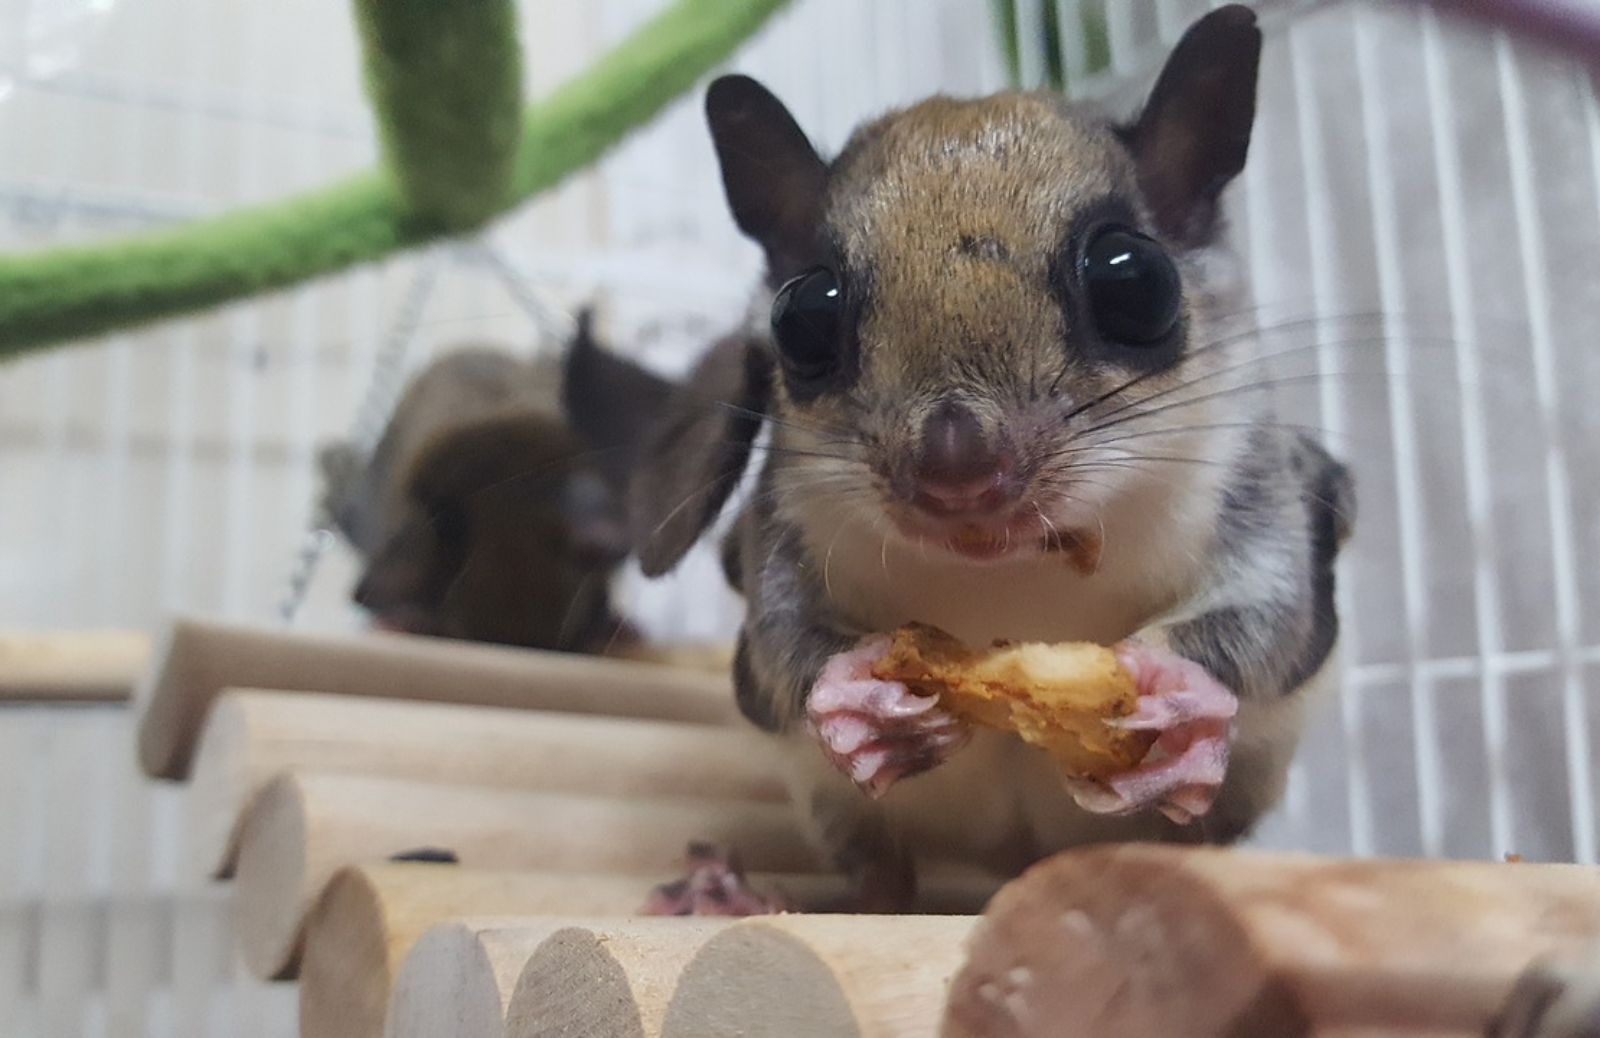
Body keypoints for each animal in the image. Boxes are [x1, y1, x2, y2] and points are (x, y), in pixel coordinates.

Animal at [630, 4, 1356, 902]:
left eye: (1136, 280)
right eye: (802, 317)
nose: (957, 474)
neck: (1012, 569)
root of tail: (1016, 863)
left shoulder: (1259, 486)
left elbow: (1271, 613)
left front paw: (1181, 691)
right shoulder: (780, 526)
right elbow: (780, 636)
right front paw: (850, 691)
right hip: (838, 808)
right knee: (880, 884)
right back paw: (730, 891)